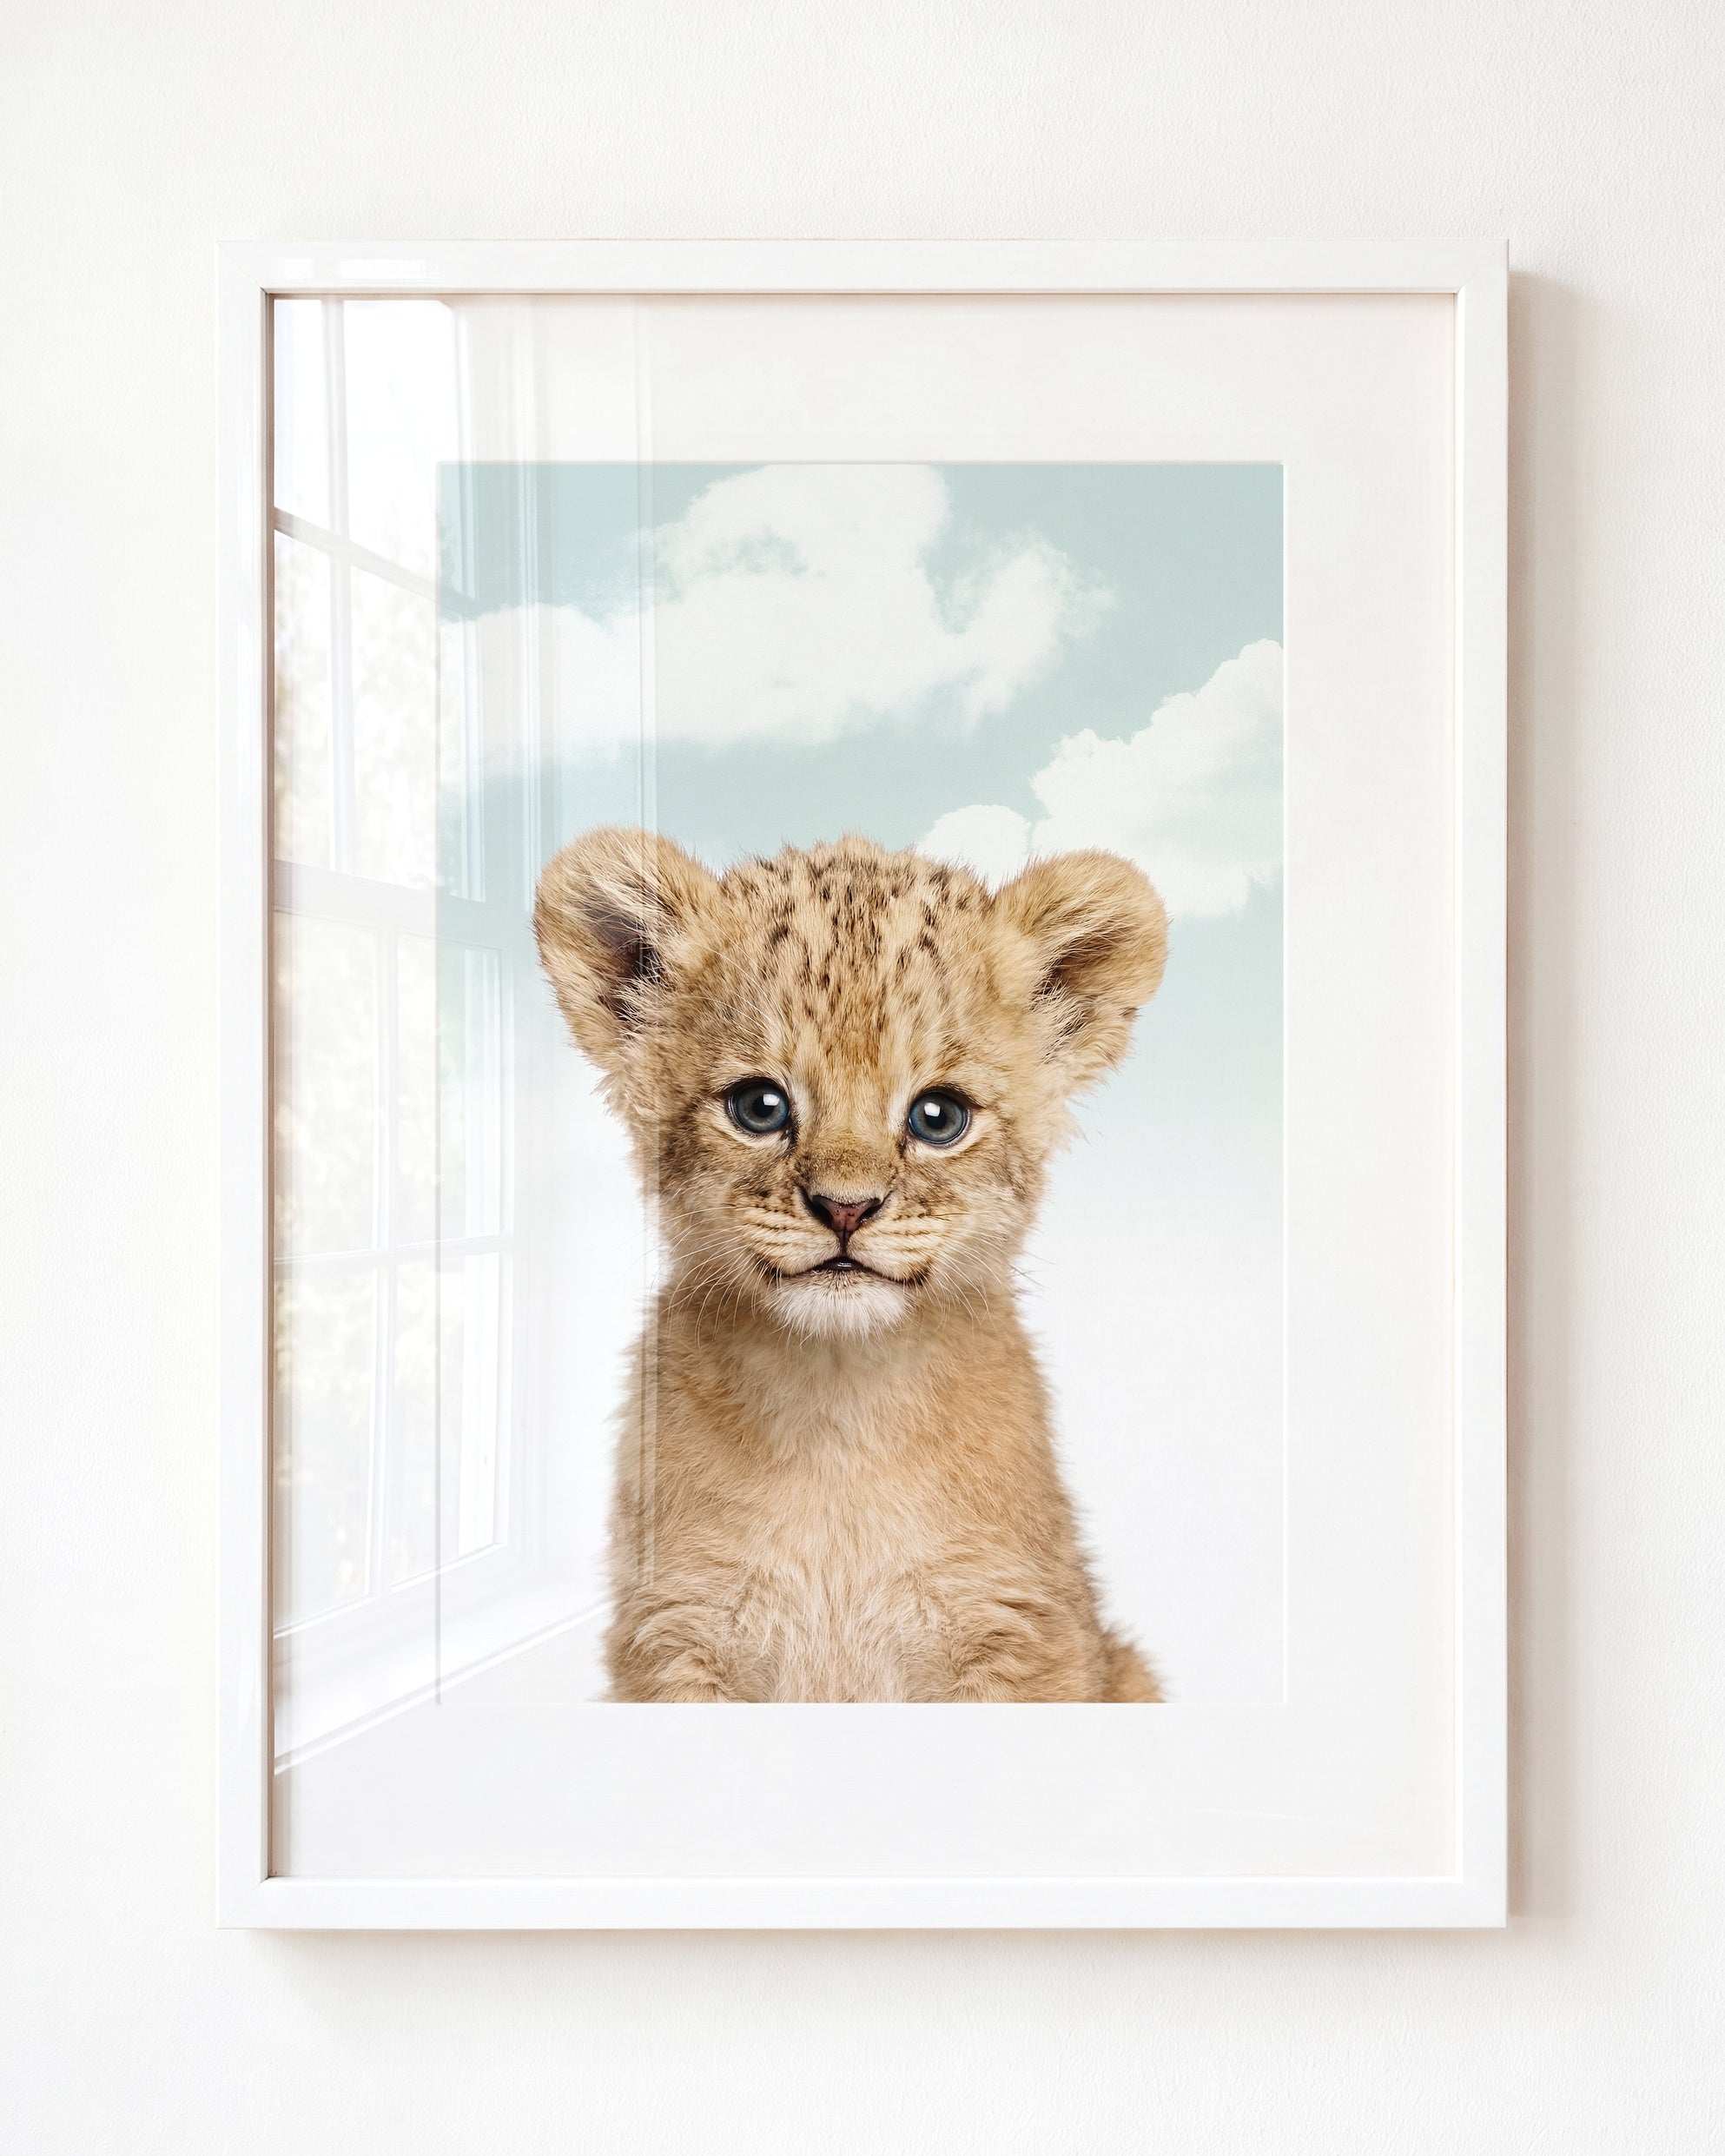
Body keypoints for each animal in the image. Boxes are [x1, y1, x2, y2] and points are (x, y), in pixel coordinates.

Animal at [534, 828, 1168, 1702]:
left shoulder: (1018, 1630)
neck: (838, 1410)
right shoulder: (677, 1632)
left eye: (938, 1117)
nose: (845, 1208)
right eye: (760, 1107)